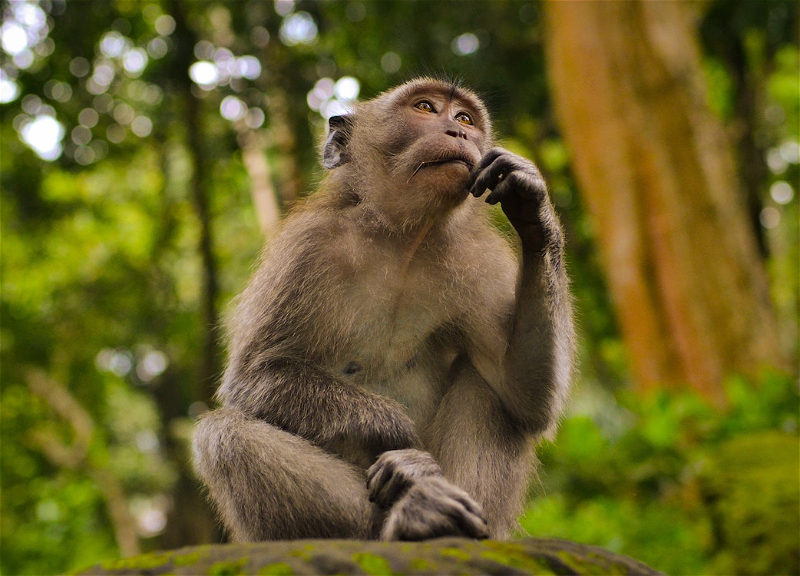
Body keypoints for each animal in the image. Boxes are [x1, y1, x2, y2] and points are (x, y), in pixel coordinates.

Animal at [194, 79, 572, 544]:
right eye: (425, 108)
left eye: (465, 118)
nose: (459, 132)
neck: (402, 240)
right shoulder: (306, 248)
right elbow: (253, 377)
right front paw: (402, 439)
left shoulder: (479, 261)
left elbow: (525, 395)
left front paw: (532, 204)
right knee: (223, 434)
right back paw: (413, 514)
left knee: (487, 386)